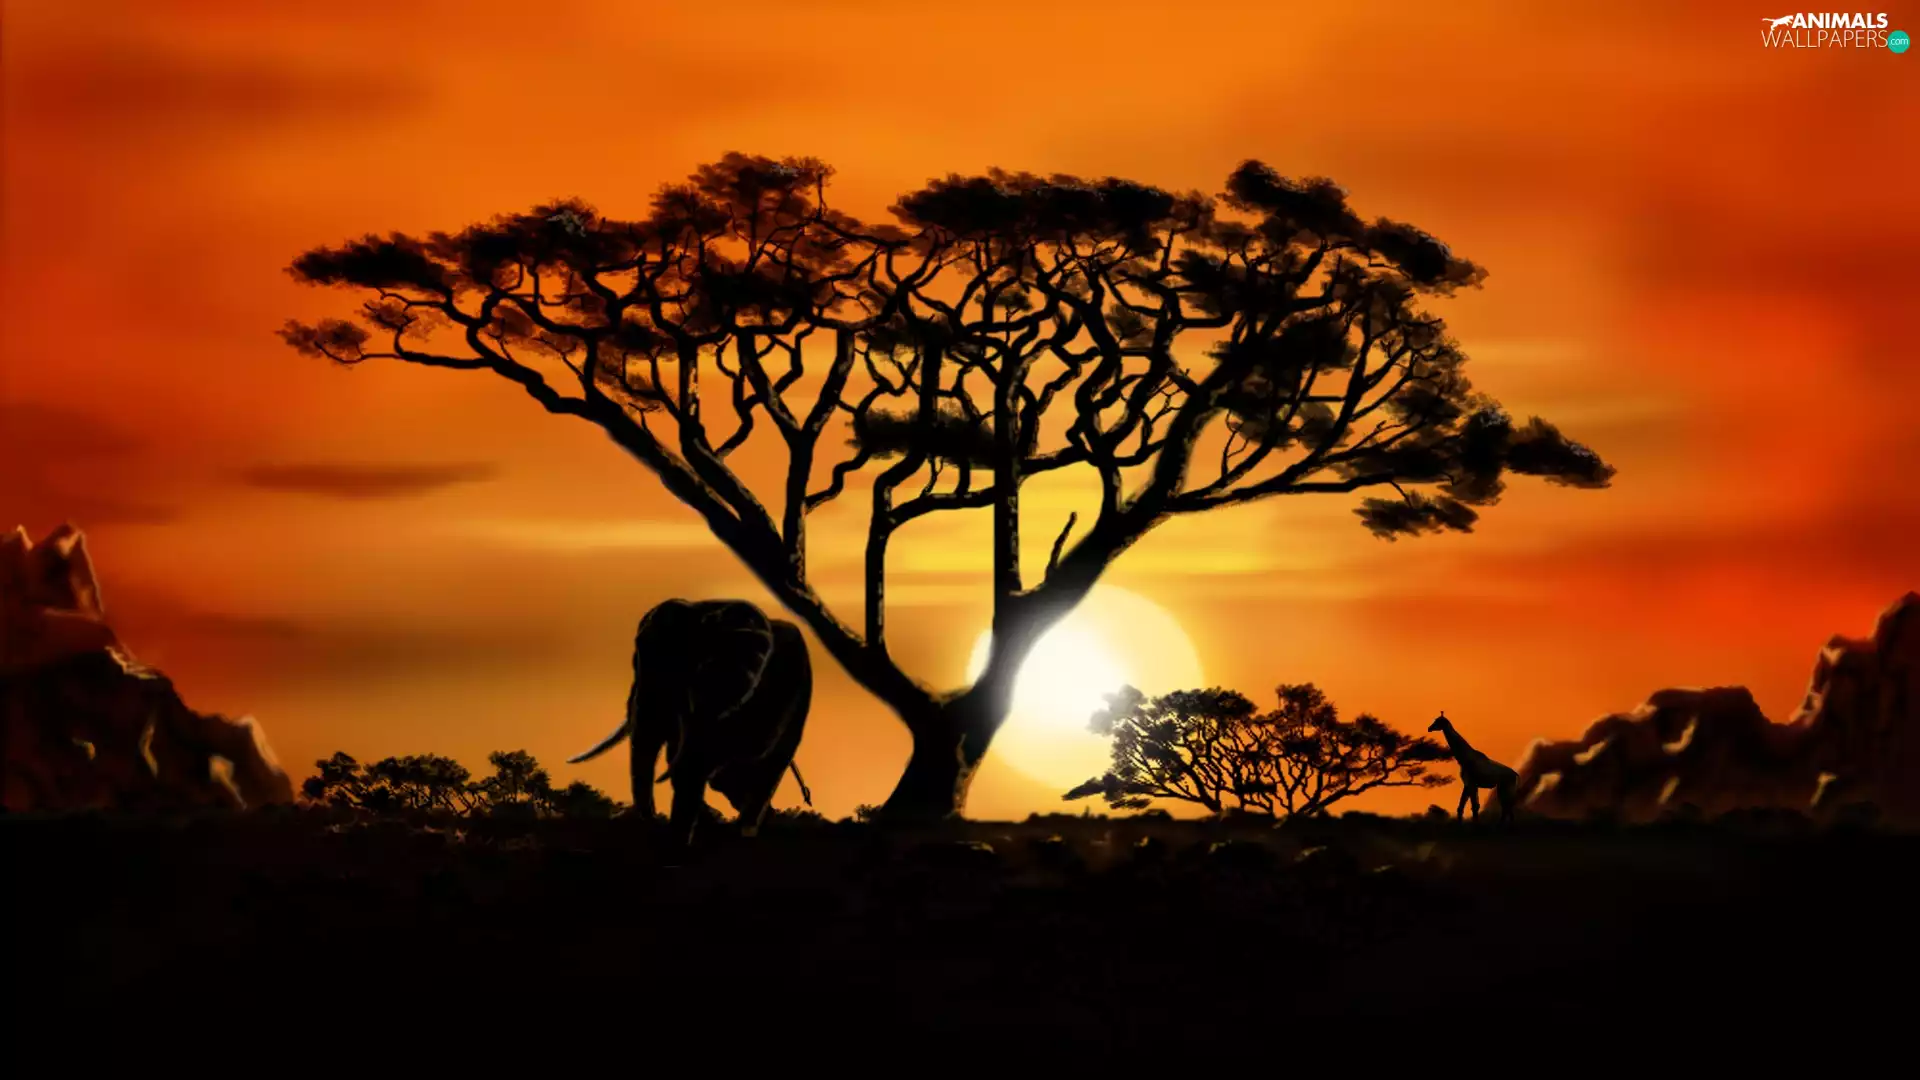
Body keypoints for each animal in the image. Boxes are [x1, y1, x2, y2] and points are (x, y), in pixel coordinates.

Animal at [569, 598, 813, 846]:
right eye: (635, 659)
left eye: (678, 663)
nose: (652, 820)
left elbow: (697, 758)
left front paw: (679, 840)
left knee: (765, 768)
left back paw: (743, 830)